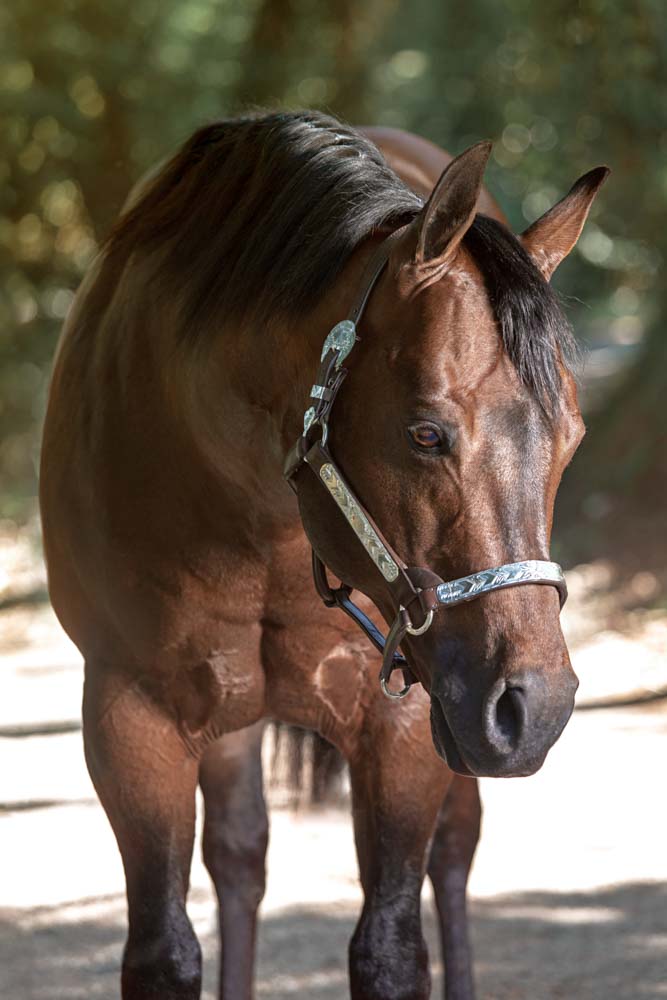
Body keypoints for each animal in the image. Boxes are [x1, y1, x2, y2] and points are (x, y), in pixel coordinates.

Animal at [39, 111, 608, 1000]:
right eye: (424, 433)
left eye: (571, 438)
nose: (536, 706)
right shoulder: (130, 714)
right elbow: (165, 951)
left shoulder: (405, 721)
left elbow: (389, 950)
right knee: (240, 858)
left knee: (452, 855)